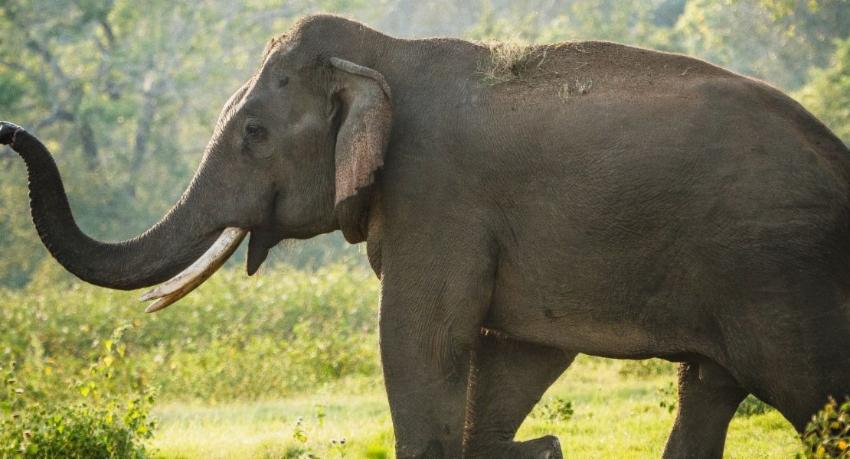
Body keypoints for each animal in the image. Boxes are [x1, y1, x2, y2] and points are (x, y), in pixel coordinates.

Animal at [2, 14, 850, 458]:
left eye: (253, 134)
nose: (7, 132)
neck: (385, 51)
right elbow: (509, 357)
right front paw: (528, 445)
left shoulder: (439, 198)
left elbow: (420, 340)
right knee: (708, 388)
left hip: (780, 275)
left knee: (813, 395)